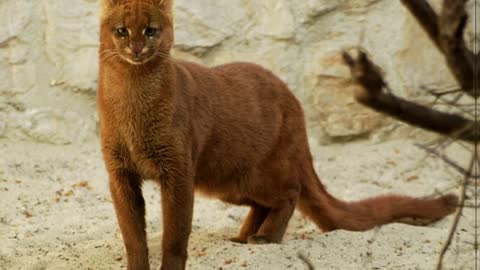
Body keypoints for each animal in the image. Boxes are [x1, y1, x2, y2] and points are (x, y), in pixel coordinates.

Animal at [98, 0, 458, 270]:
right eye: (121, 30)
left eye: (151, 30)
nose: (136, 48)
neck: (132, 97)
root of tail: (292, 98)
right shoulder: (120, 173)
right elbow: (133, 235)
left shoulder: (177, 171)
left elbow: (174, 234)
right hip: (226, 182)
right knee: (264, 203)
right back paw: (243, 237)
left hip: (247, 174)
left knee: (290, 191)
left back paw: (264, 238)